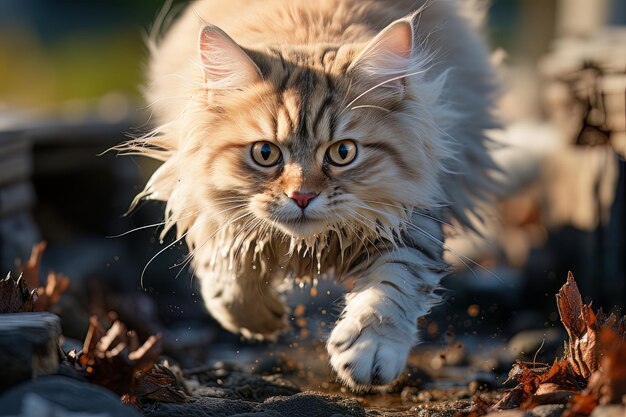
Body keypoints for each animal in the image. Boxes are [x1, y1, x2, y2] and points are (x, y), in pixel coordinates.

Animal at [122, 0, 500, 390]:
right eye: (265, 153)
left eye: (343, 153)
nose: (301, 196)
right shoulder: (206, 206)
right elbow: (228, 274)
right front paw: (260, 319)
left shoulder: (411, 217)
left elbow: (391, 286)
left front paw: (369, 349)